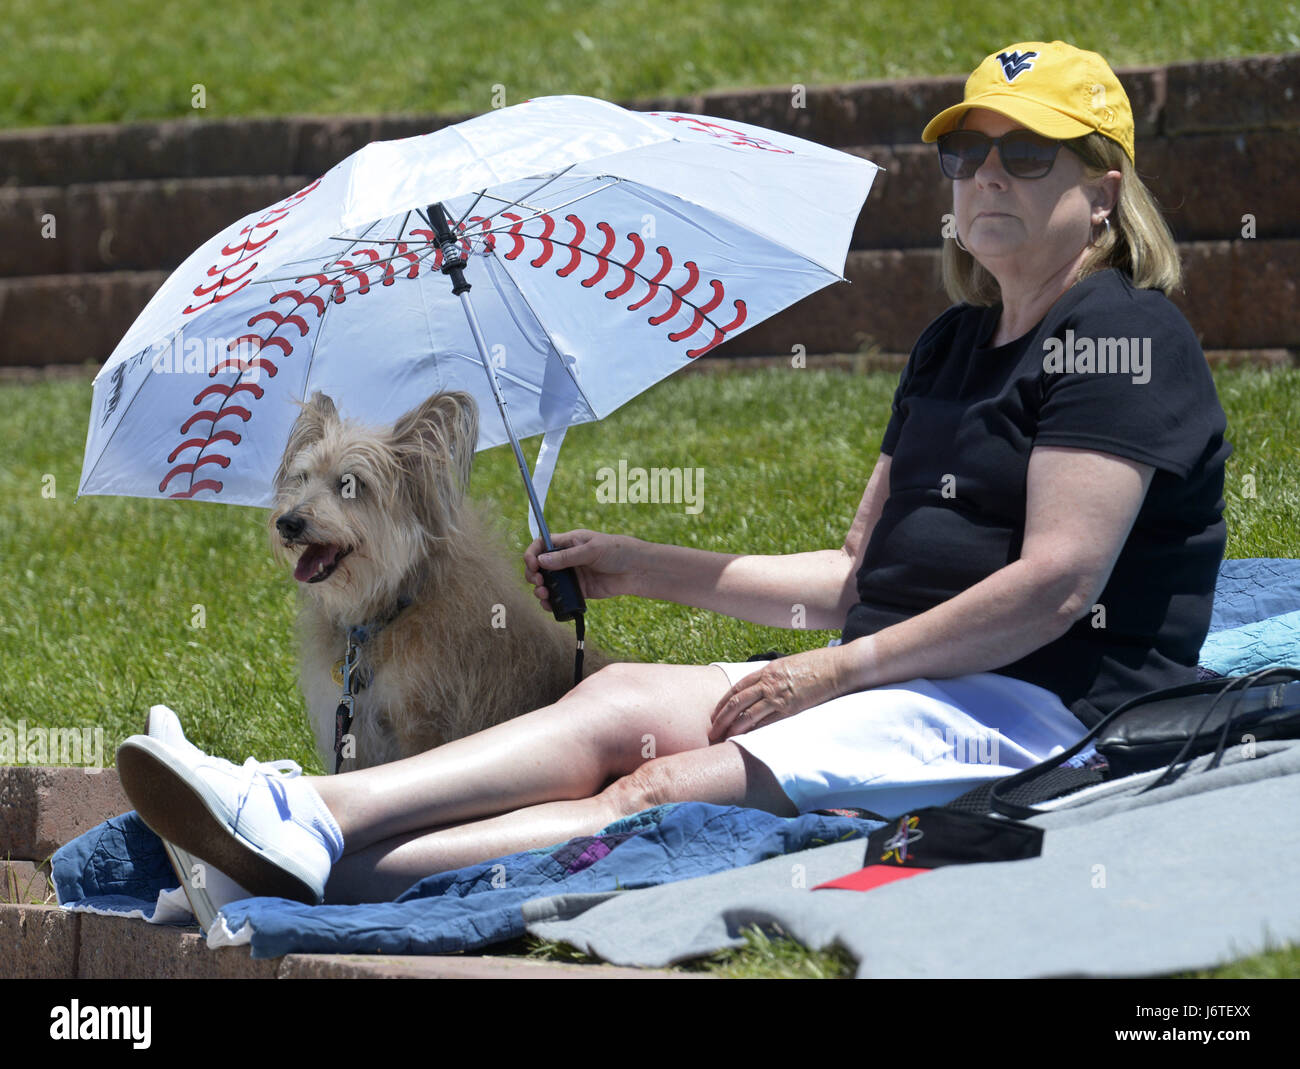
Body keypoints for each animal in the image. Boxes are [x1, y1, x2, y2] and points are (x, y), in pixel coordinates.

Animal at [271, 390, 605, 775]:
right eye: (302, 478)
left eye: (350, 484)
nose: (287, 522)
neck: (392, 606)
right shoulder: (355, 734)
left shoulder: (423, 726)